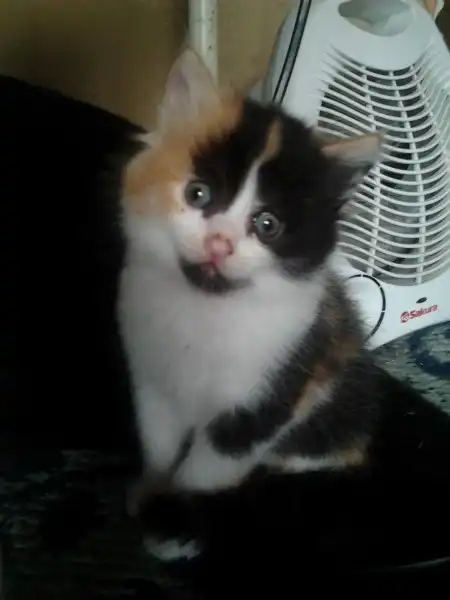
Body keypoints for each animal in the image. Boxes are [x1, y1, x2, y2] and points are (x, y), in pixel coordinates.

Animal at [117, 49, 450, 589]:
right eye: (198, 194)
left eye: (267, 225)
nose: (219, 244)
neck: (208, 310)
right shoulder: (152, 375)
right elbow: (160, 443)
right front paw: (151, 491)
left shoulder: (272, 393)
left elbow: (207, 469)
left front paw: (175, 525)